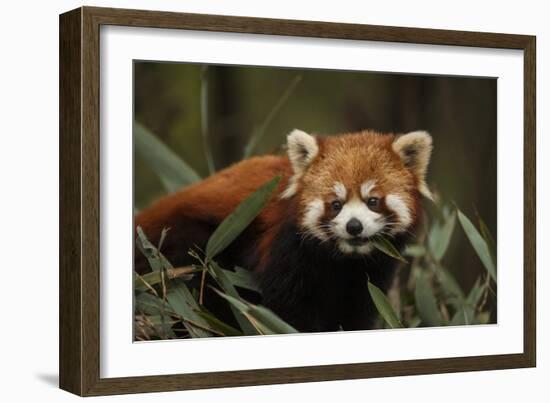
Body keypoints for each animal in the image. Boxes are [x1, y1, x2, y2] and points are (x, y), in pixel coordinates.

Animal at [135, 130, 436, 334]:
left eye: (372, 201)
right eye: (335, 204)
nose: (354, 226)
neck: (343, 260)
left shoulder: (371, 273)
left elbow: (357, 310)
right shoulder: (288, 249)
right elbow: (288, 310)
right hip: (189, 246)